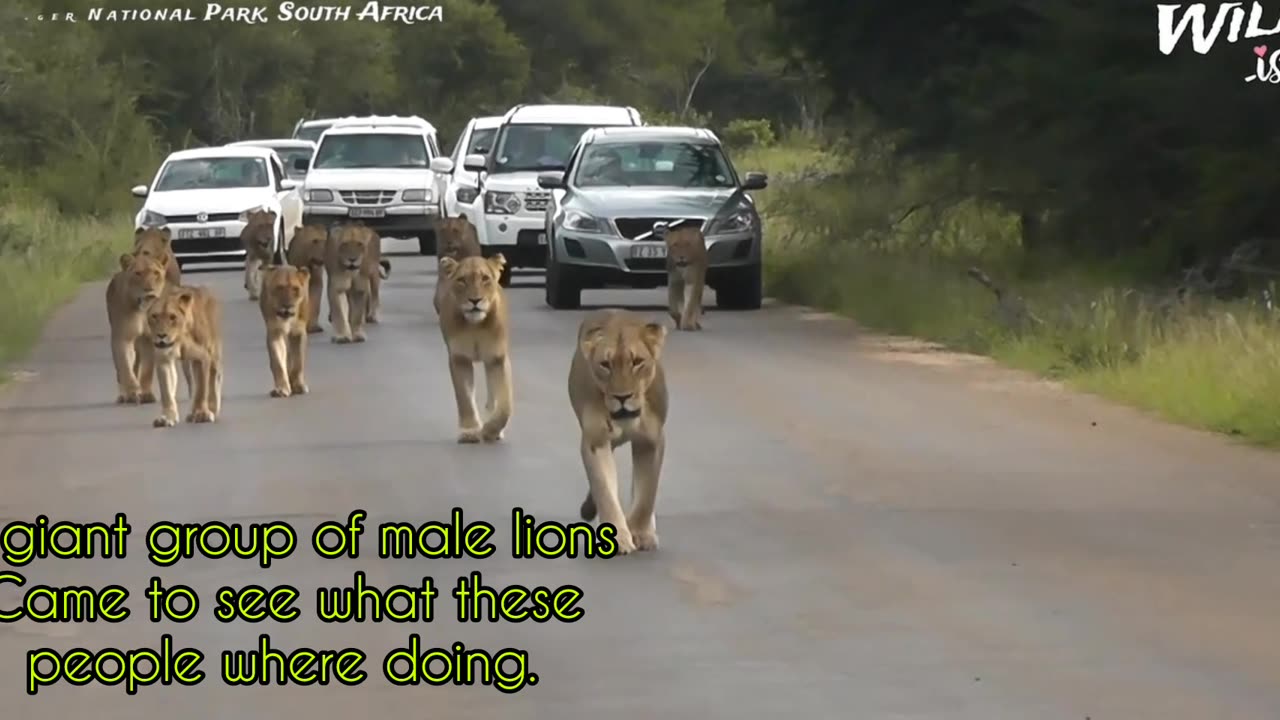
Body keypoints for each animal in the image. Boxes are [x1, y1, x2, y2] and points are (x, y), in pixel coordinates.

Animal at [105, 251, 167, 404]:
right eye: (138, 273)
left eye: (156, 273)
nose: (149, 290)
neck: (142, 311)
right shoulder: (122, 338)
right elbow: (125, 367)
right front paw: (132, 393)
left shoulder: (149, 339)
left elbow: (147, 370)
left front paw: (146, 394)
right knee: (122, 370)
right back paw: (123, 395)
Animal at [149, 283, 227, 425]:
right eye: (154, 316)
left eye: (172, 317)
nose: (161, 335)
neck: (179, 337)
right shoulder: (164, 359)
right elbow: (166, 391)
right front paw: (167, 417)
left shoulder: (203, 357)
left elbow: (202, 389)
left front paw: (202, 413)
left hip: (213, 354)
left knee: (214, 378)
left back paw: (211, 409)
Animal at [437, 252, 512, 443]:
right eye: (462, 280)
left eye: (485, 278)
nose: (475, 300)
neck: (475, 326)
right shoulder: (459, 359)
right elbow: (464, 398)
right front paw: (470, 431)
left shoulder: (498, 358)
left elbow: (506, 403)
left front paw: (491, 430)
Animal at [570, 304, 670, 550]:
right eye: (605, 365)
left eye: (637, 362)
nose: (622, 397)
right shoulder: (596, 439)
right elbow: (605, 489)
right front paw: (618, 537)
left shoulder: (652, 441)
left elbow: (647, 493)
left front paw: (641, 533)